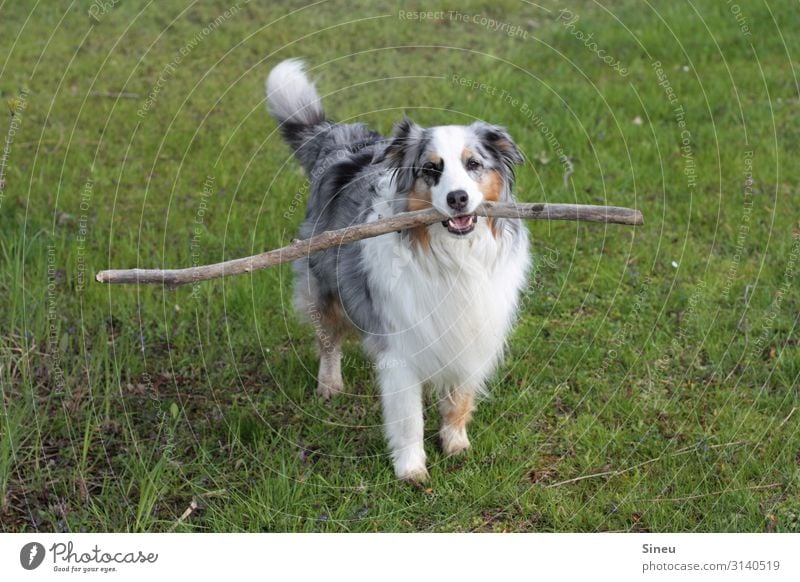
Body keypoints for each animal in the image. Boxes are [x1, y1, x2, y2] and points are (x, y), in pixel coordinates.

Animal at [268, 59, 532, 482]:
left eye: (474, 165)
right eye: (431, 169)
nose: (458, 199)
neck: (452, 255)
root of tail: (338, 142)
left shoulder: (472, 329)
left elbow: (459, 397)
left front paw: (456, 445)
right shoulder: (400, 344)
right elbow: (408, 417)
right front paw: (411, 471)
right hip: (322, 285)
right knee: (328, 339)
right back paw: (330, 385)